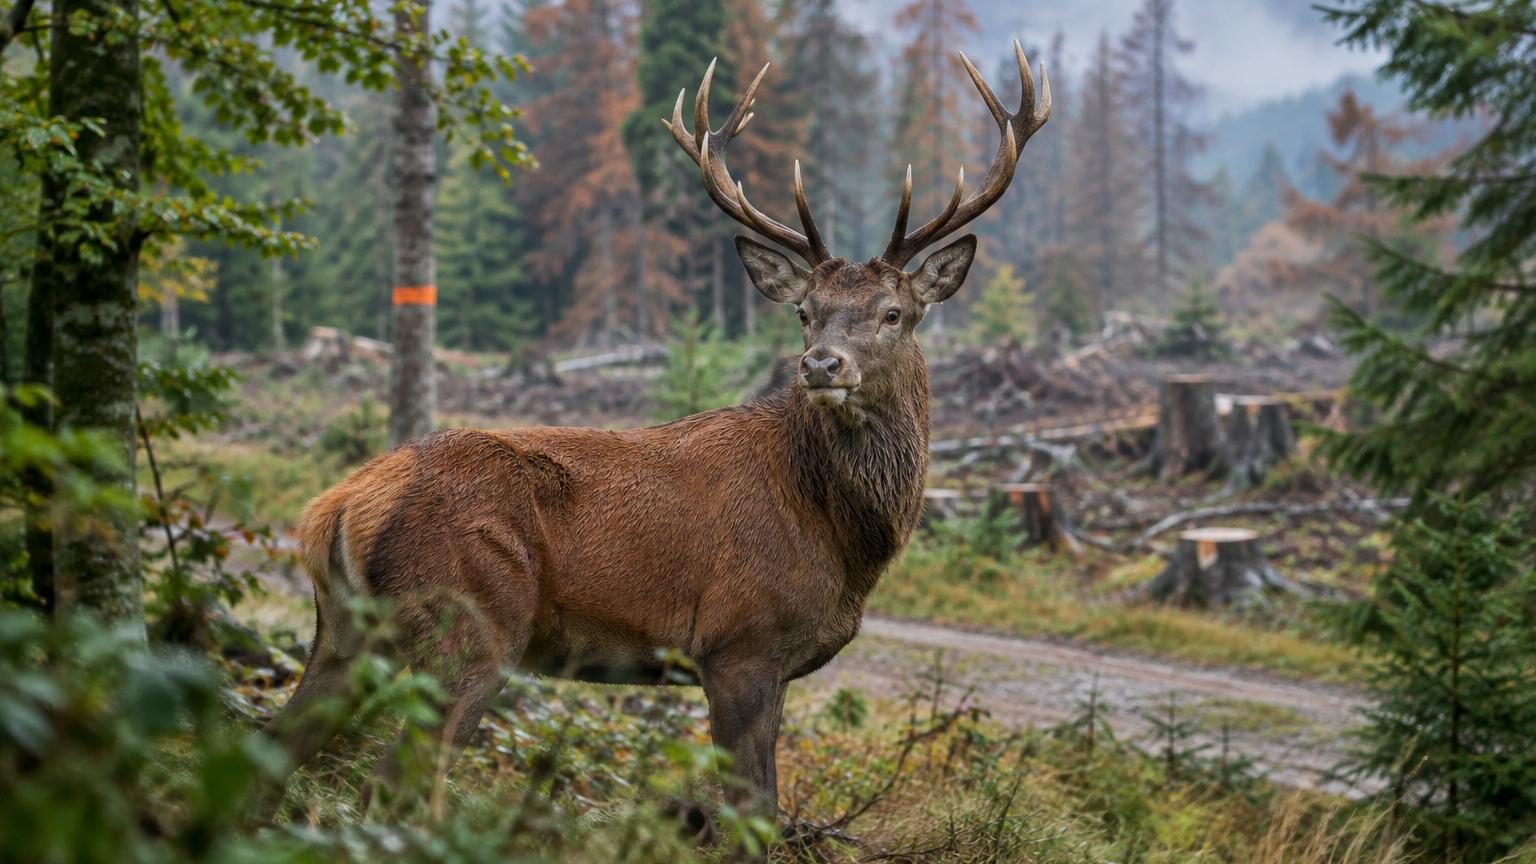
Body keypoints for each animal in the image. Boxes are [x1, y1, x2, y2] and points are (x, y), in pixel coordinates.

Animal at [254, 41, 1050, 820]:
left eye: (894, 313)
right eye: (806, 311)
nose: (821, 363)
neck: (840, 537)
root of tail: (337, 507)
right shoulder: (738, 645)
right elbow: (750, 816)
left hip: (344, 635)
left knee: (270, 756)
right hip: (472, 625)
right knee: (389, 789)